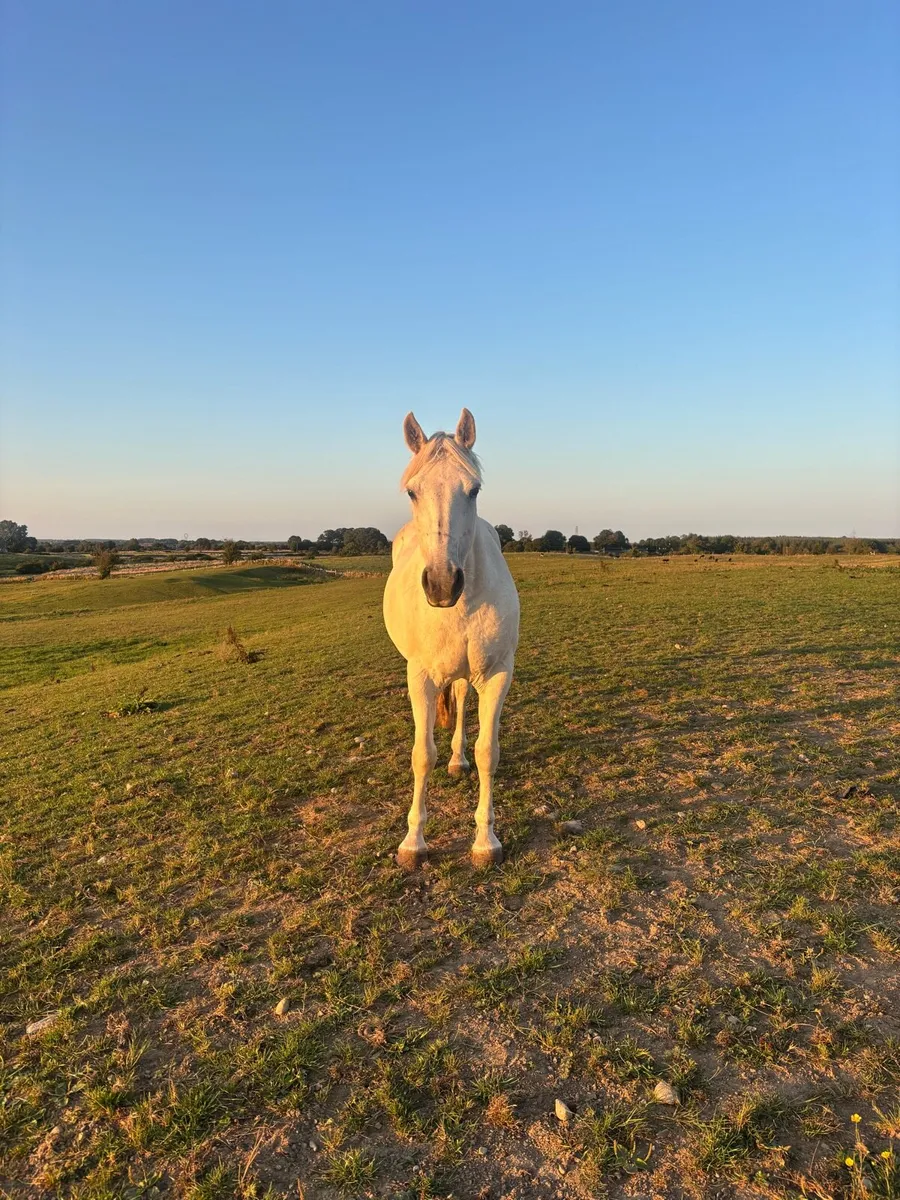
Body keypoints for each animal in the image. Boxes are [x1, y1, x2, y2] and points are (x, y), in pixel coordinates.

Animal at [383, 408, 520, 869]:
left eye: (473, 489)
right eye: (412, 491)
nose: (442, 584)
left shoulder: (498, 674)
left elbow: (487, 752)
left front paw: (485, 841)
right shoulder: (420, 677)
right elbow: (422, 755)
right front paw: (413, 842)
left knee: (460, 699)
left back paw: (458, 761)